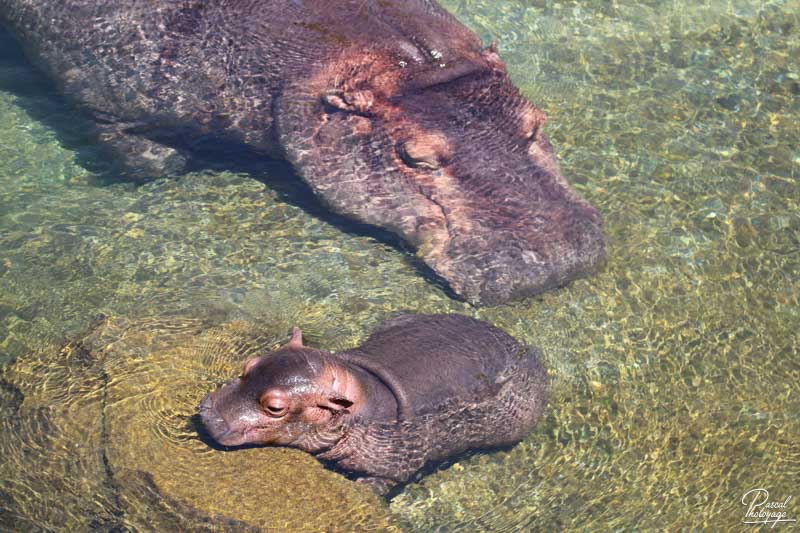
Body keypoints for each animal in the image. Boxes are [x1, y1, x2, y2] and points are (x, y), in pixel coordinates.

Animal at [200, 312, 552, 494]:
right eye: (249, 364)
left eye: (275, 407)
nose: (209, 417)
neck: (366, 391)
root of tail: (521, 346)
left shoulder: (394, 468)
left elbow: (378, 483)